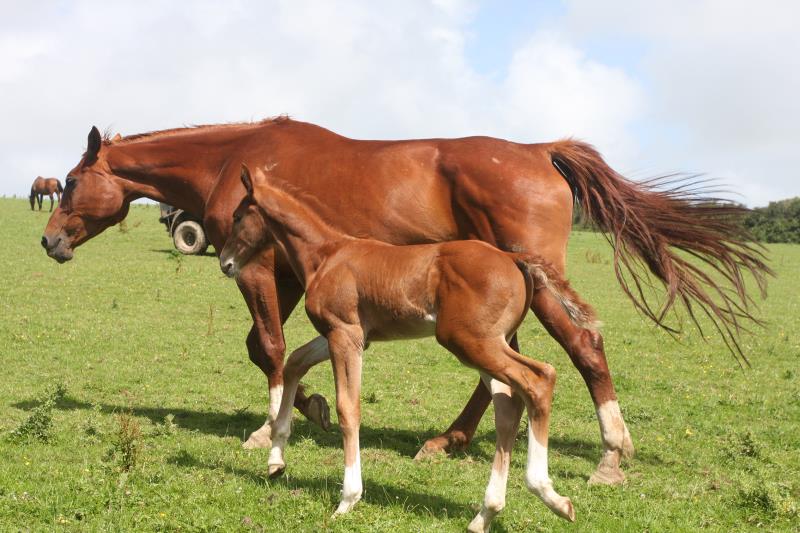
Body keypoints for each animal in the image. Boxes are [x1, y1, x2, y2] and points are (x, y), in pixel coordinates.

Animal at [42, 118, 768, 484]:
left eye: (71, 181)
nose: (49, 240)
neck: (235, 159)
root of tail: (540, 151)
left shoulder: (257, 268)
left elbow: (269, 347)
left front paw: (270, 425)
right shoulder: (290, 273)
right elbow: (272, 350)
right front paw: (309, 407)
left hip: (533, 281)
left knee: (578, 343)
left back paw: (611, 453)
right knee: (507, 365)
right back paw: (450, 438)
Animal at [220, 164, 600, 524]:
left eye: (237, 216)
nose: (225, 263)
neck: (326, 255)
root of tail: (514, 259)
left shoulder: (345, 333)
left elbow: (348, 408)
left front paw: (348, 499)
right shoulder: (350, 335)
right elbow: (295, 362)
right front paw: (276, 459)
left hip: (470, 342)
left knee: (539, 378)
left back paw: (547, 494)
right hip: (488, 345)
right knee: (508, 405)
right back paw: (487, 513)